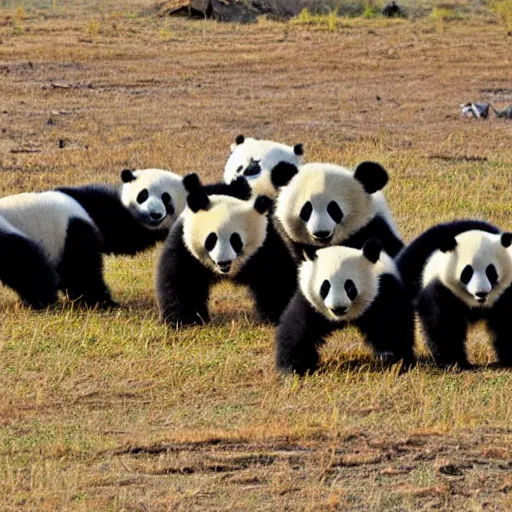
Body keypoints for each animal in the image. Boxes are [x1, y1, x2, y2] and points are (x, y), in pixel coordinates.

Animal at [158, 174, 298, 326]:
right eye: (211, 239)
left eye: (235, 240)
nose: (223, 262)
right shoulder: (185, 246)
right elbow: (183, 280)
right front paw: (187, 320)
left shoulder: (265, 245)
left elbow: (275, 277)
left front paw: (277, 316)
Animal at [276, 238, 416, 374]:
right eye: (325, 287)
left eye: (350, 287)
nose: (338, 308)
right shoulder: (310, 303)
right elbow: (297, 329)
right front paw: (295, 367)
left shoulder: (381, 291)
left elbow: (391, 325)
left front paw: (394, 361)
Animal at [396, 220, 512, 368]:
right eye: (467, 272)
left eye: (491, 271)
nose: (481, 293)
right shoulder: (441, 287)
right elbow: (444, 325)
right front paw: (455, 363)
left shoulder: (506, 291)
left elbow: (506, 322)